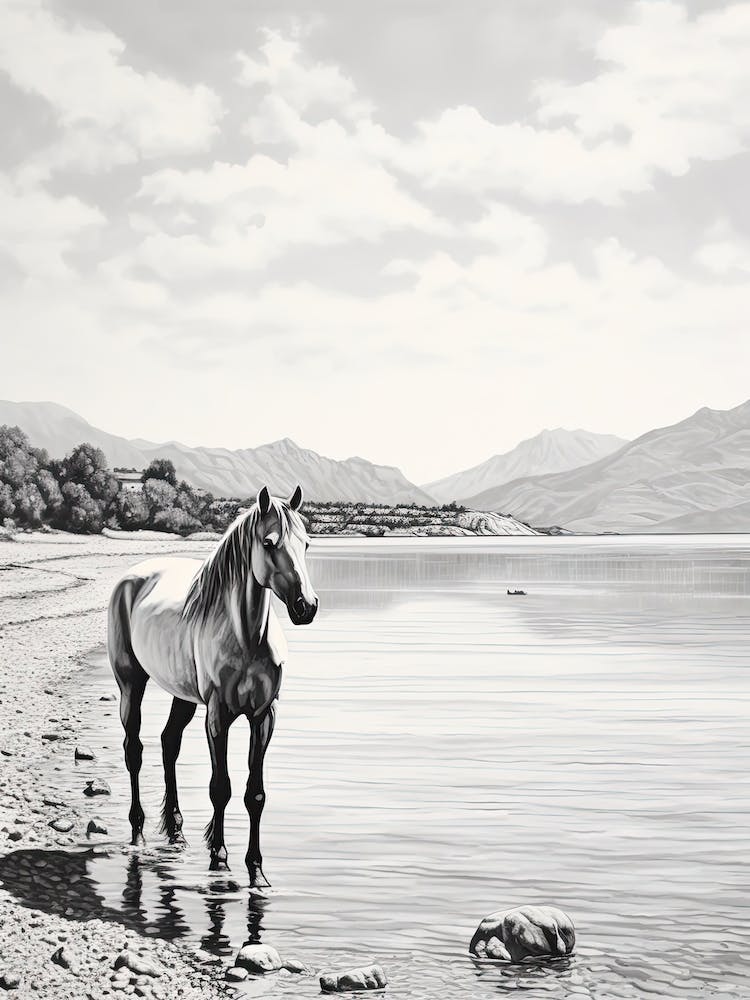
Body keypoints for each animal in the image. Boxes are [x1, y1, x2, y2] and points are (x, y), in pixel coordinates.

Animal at [107, 485, 318, 885]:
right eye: (268, 543)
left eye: (307, 543)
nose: (307, 607)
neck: (246, 638)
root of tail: (132, 578)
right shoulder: (218, 715)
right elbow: (220, 788)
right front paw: (218, 858)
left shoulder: (264, 716)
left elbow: (255, 794)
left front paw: (257, 870)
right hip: (131, 684)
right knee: (133, 750)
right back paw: (138, 831)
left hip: (182, 696)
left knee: (168, 743)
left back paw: (175, 828)